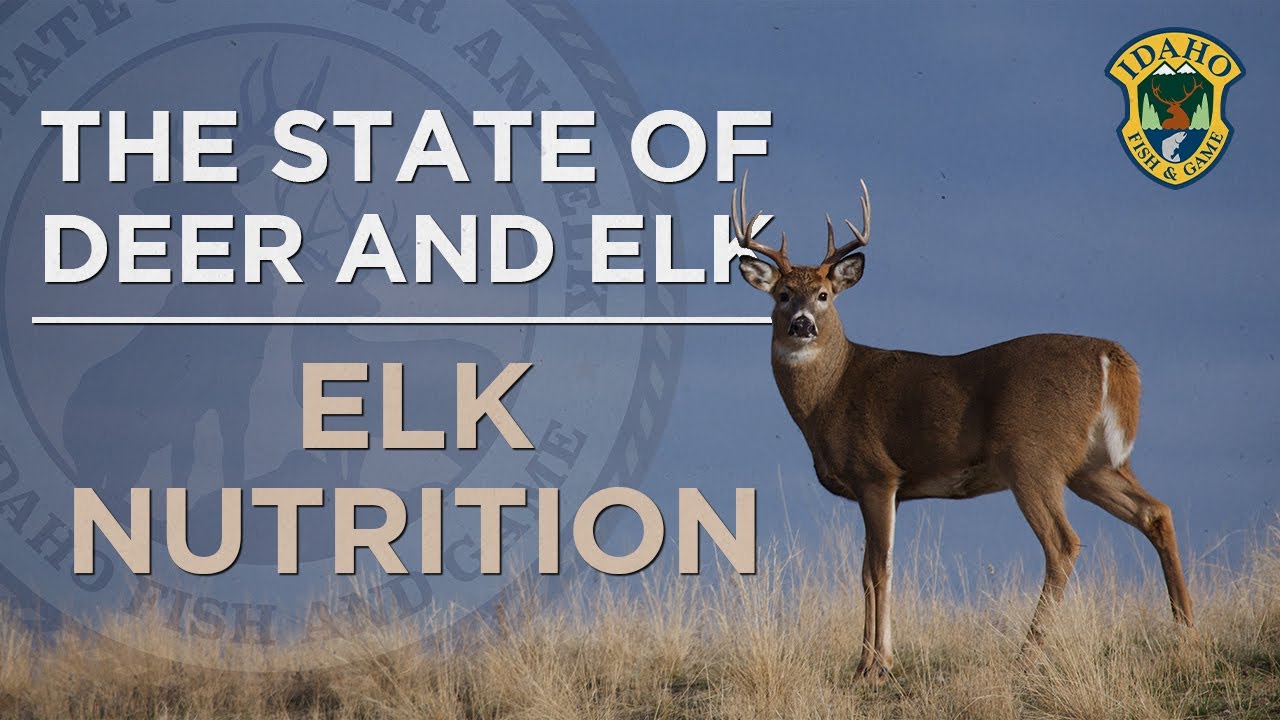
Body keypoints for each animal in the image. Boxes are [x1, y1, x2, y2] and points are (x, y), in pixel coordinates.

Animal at [731, 174, 1194, 682]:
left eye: (823, 295)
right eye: (782, 295)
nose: (802, 325)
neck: (831, 393)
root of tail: (1110, 355)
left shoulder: (877, 473)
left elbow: (877, 569)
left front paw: (875, 665)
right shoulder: (889, 488)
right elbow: (870, 569)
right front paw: (869, 661)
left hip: (1032, 456)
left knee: (1063, 544)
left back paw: (1026, 656)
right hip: (1092, 464)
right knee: (1155, 512)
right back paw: (1186, 633)